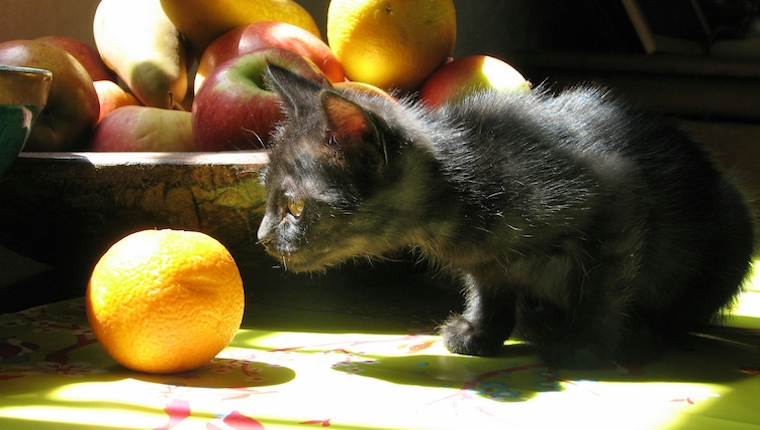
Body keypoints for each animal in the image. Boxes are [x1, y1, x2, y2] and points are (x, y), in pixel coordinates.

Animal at [256, 65, 756, 368]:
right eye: (267, 196)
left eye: (294, 206)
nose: (261, 238)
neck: (462, 192)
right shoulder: (484, 263)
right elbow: (488, 288)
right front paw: (480, 332)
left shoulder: (618, 201)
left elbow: (602, 289)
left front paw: (583, 345)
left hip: (731, 233)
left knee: (687, 311)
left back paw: (644, 334)